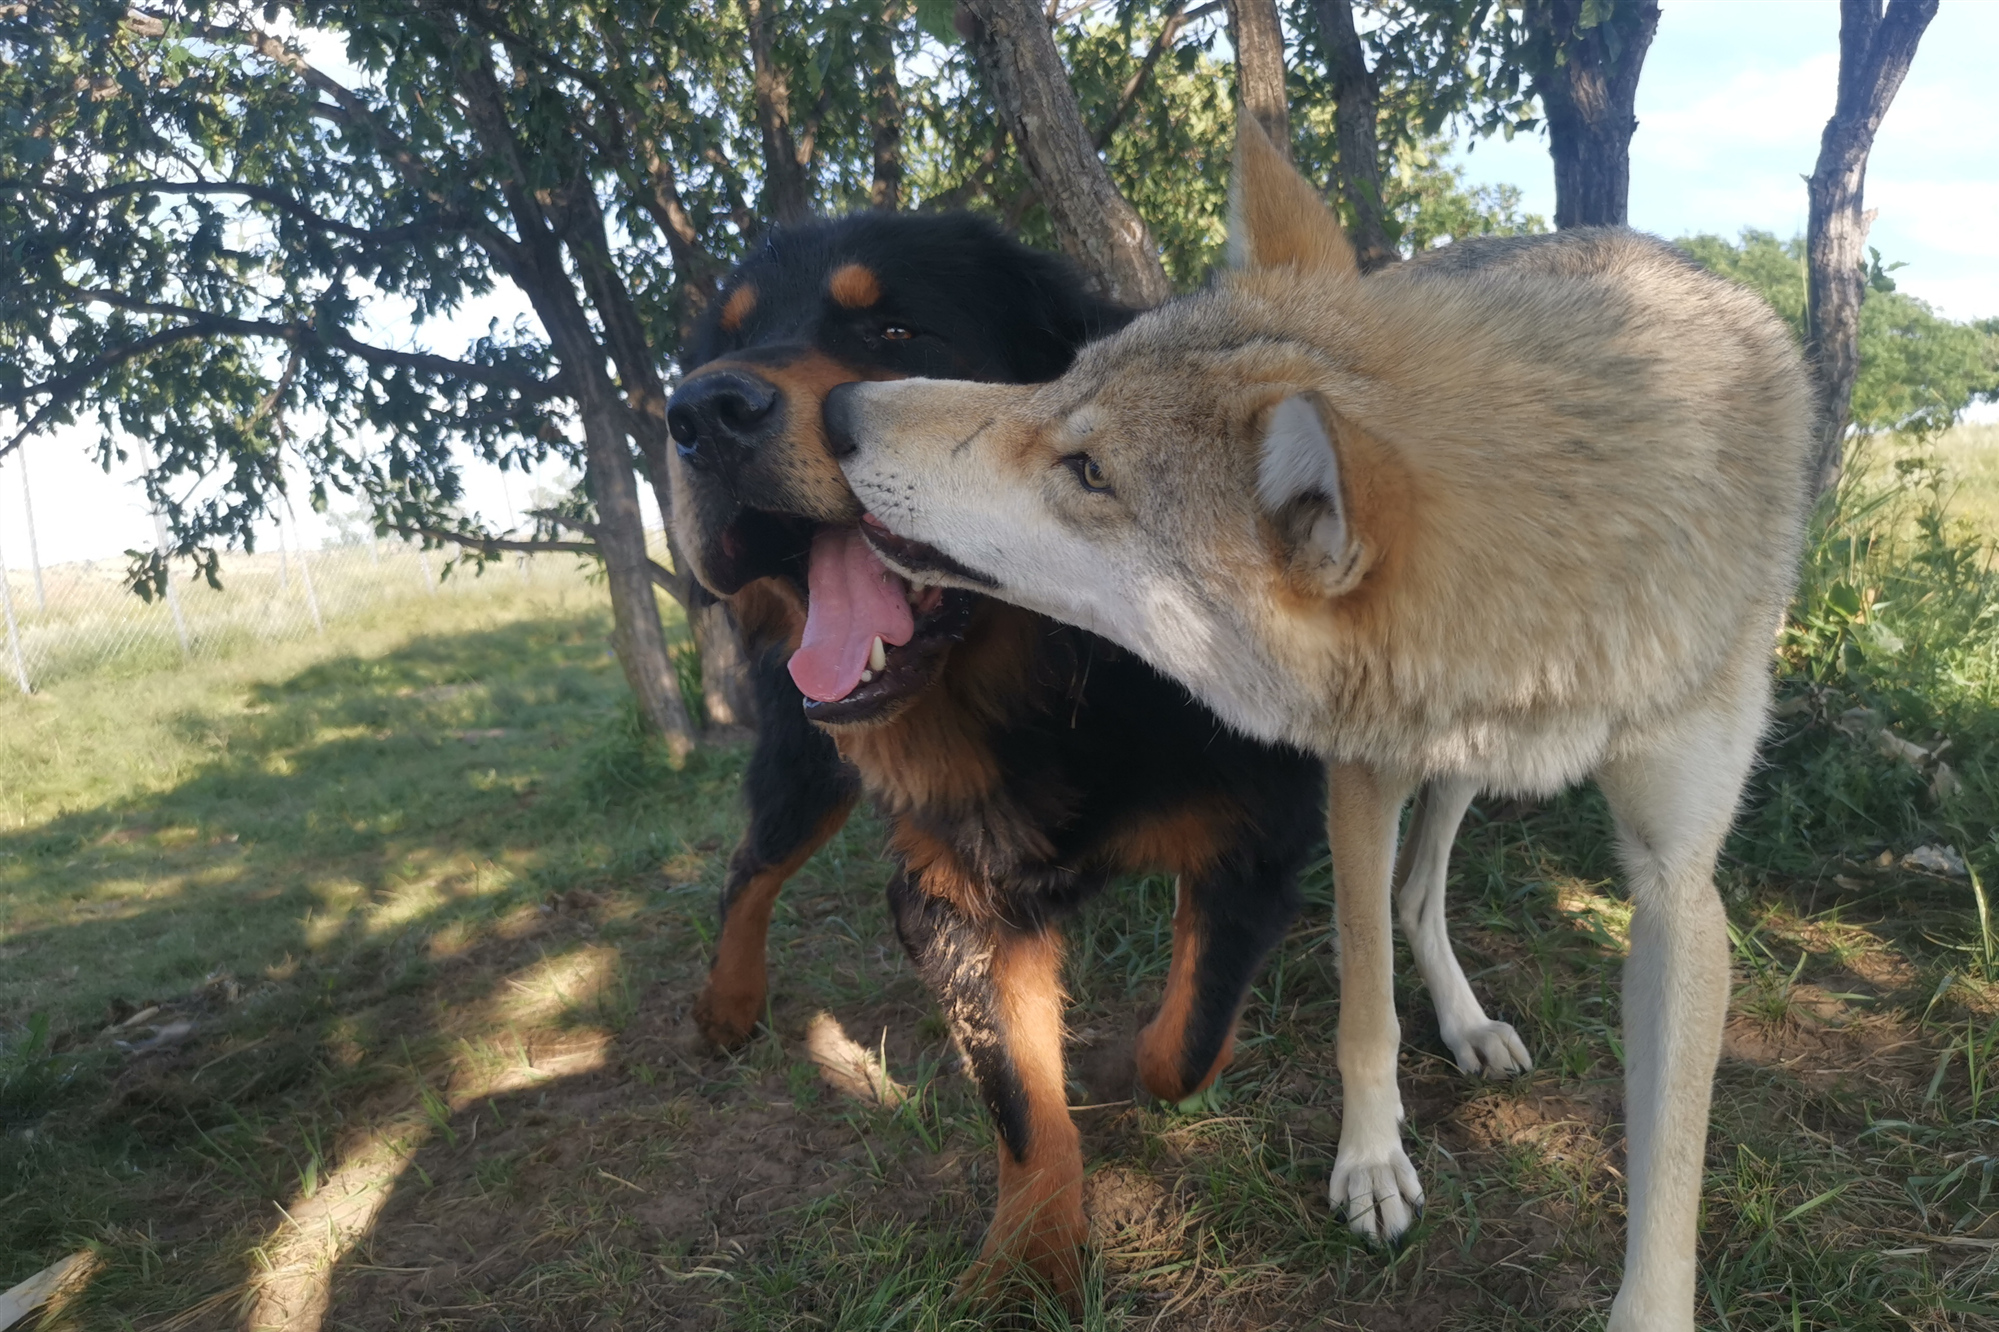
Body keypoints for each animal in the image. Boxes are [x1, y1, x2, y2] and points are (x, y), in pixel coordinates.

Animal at [663, 213, 1519, 1304]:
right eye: (718, 342)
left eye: (896, 330)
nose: (700, 410)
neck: (1068, 679)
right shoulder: (953, 895)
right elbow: (1023, 1102)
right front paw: (1026, 1262)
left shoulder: (1259, 839)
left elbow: (1187, 1040)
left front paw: (1126, 1071)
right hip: (806, 761)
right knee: (750, 867)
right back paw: (726, 1003)